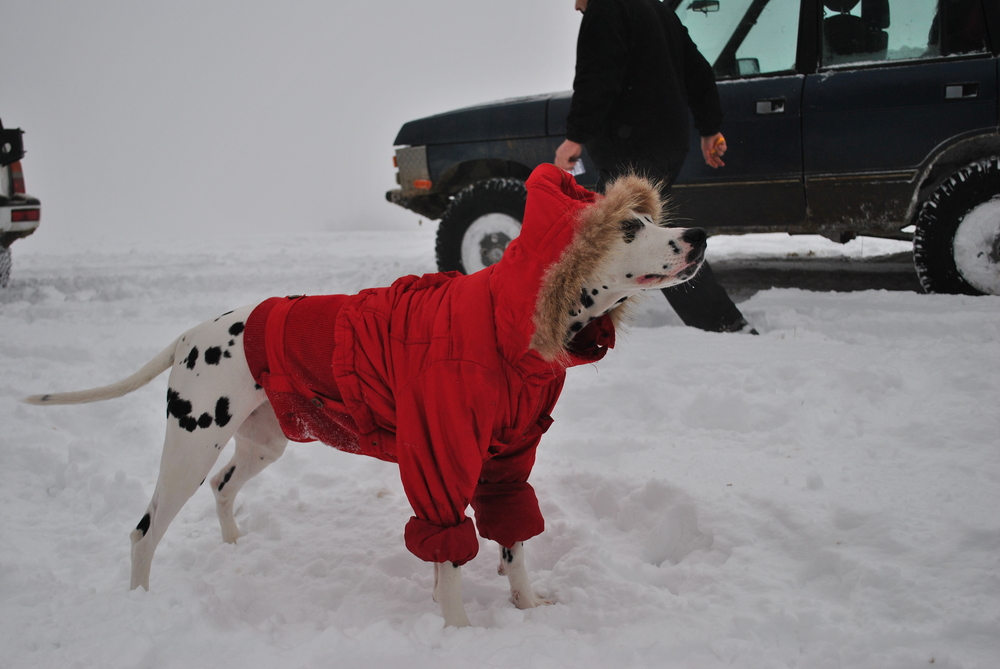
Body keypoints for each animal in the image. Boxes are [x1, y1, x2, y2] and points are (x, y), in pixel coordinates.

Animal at [25, 167, 712, 628]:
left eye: (648, 220)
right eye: (630, 226)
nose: (700, 234)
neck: (508, 325)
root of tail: (189, 336)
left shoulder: (505, 466)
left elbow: (511, 544)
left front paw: (527, 606)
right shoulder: (439, 460)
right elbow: (449, 554)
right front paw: (459, 632)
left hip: (261, 444)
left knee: (222, 489)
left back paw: (234, 545)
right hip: (189, 449)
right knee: (143, 532)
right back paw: (140, 604)